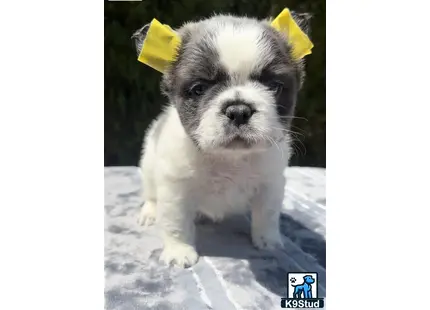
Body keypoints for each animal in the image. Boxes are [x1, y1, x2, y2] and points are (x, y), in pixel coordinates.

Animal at [133, 13, 310, 268]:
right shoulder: (175, 188)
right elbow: (176, 222)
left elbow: (267, 215)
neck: (229, 158)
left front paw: (267, 240)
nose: (239, 111)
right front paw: (179, 250)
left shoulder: (270, 184)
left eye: (274, 86)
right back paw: (149, 212)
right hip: (148, 166)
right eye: (198, 89)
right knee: (151, 194)